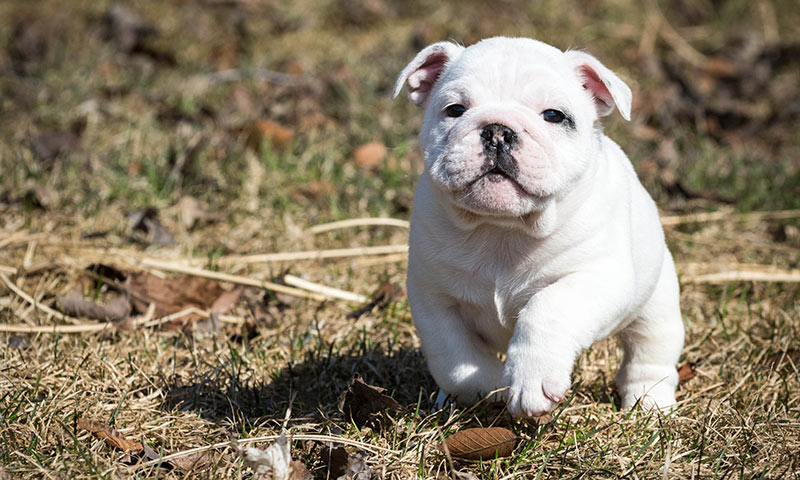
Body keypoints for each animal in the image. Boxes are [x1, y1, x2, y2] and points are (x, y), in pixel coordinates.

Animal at [394, 36, 680, 416]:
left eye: (554, 116)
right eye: (454, 110)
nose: (497, 130)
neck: (504, 228)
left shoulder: (597, 277)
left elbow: (548, 308)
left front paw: (531, 379)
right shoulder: (433, 298)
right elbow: (453, 355)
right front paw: (483, 385)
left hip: (657, 304)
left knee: (650, 351)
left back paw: (649, 403)